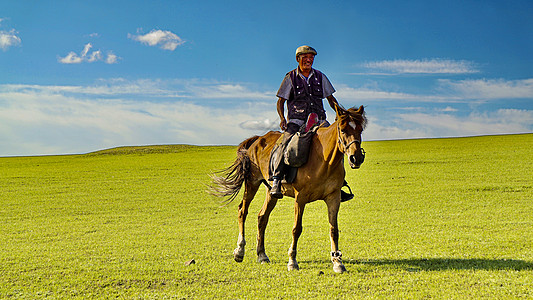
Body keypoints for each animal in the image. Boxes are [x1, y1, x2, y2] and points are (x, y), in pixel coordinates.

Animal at [210, 104, 364, 274]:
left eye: (360, 129)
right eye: (343, 130)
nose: (356, 158)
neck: (324, 160)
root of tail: (256, 140)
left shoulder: (333, 197)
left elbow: (334, 230)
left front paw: (337, 262)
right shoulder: (300, 198)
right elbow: (297, 229)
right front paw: (292, 261)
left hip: (271, 191)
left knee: (262, 217)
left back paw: (261, 255)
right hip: (252, 183)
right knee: (242, 211)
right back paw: (239, 251)